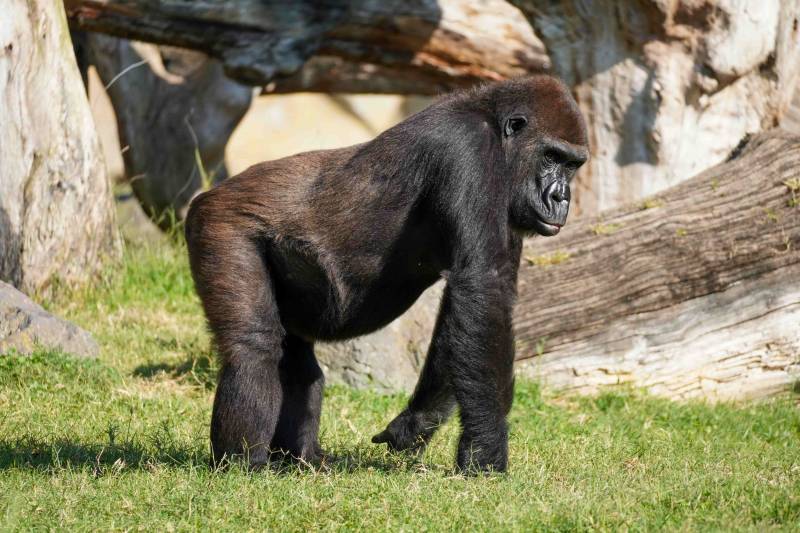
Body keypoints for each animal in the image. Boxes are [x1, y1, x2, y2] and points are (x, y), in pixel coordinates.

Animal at [186, 74, 588, 470]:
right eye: (551, 157)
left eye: (572, 166)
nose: (561, 197)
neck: (493, 122)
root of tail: (208, 195)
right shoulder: (468, 149)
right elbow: (481, 287)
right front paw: (486, 452)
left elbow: (473, 302)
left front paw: (414, 425)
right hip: (219, 223)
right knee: (254, 347)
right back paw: (243, 464)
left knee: (298, 362)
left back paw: (300, 459)